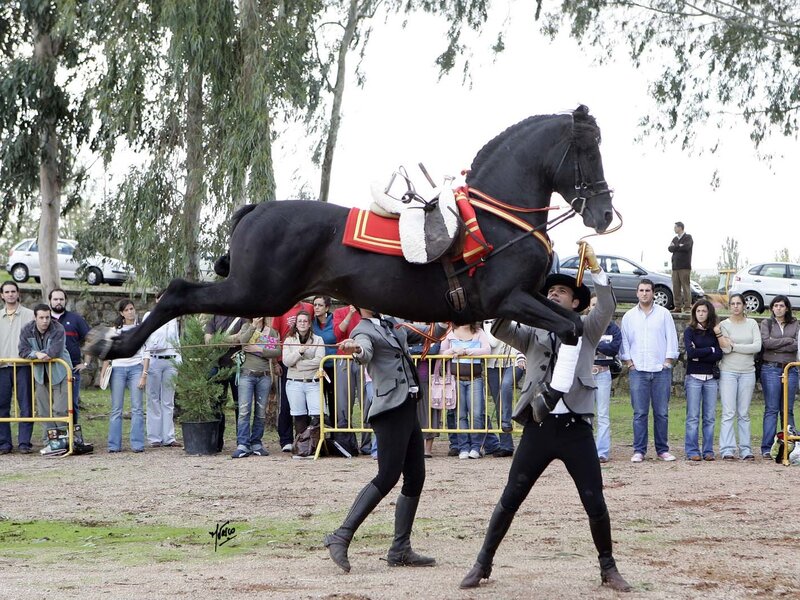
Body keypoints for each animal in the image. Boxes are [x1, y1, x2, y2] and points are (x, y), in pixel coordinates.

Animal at [91, 105, 615, 360]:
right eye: (588, 150)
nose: (604, 215)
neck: (497, 217)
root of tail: (258, 210)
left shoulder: (523, 301)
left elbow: (569, 325)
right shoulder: (509, 298)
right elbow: (569, 327)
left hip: (258, 294)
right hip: (256, 292)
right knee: (180, 292)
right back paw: (115, 344)